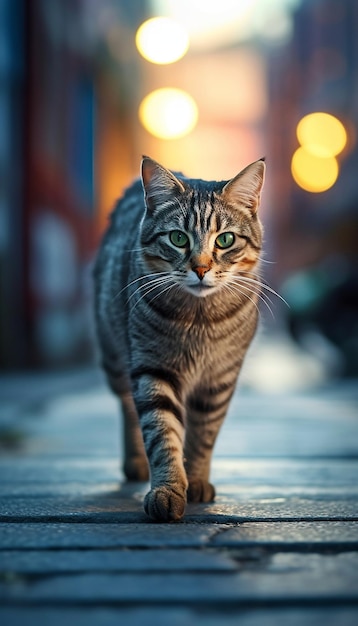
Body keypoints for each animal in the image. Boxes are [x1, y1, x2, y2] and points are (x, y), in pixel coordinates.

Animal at [94, 156, 266, 520]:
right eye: (178, 238)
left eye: (225, 240)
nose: (200, 268)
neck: (199, 320)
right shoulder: (152, 369)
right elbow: (162, 433)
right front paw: (168, 489)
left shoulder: (219, 379)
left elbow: (203, 435)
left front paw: (196, 480)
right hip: (115, 358)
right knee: (127, 407)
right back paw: (135, 462)